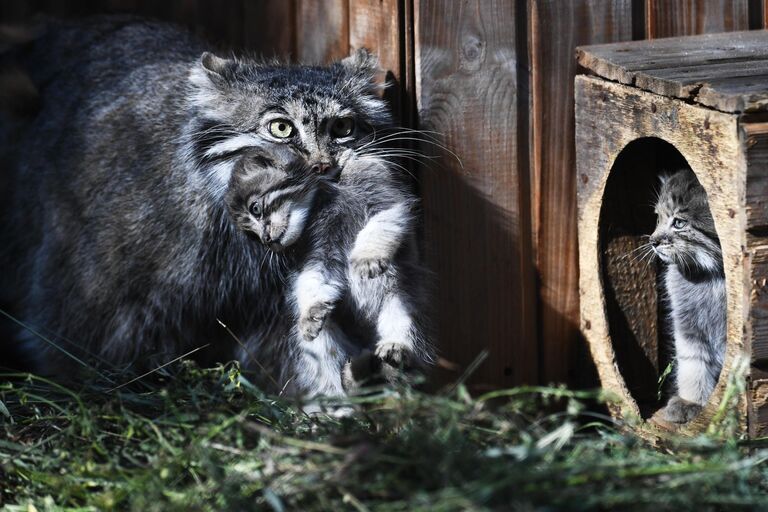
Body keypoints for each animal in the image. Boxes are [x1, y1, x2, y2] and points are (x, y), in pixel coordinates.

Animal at [648, 170, 728, 422]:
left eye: (679, 223)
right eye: (658, 218)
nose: (652, 241)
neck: (712, 278)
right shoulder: (688, 325)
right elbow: (693, 363)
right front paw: (692, 401)